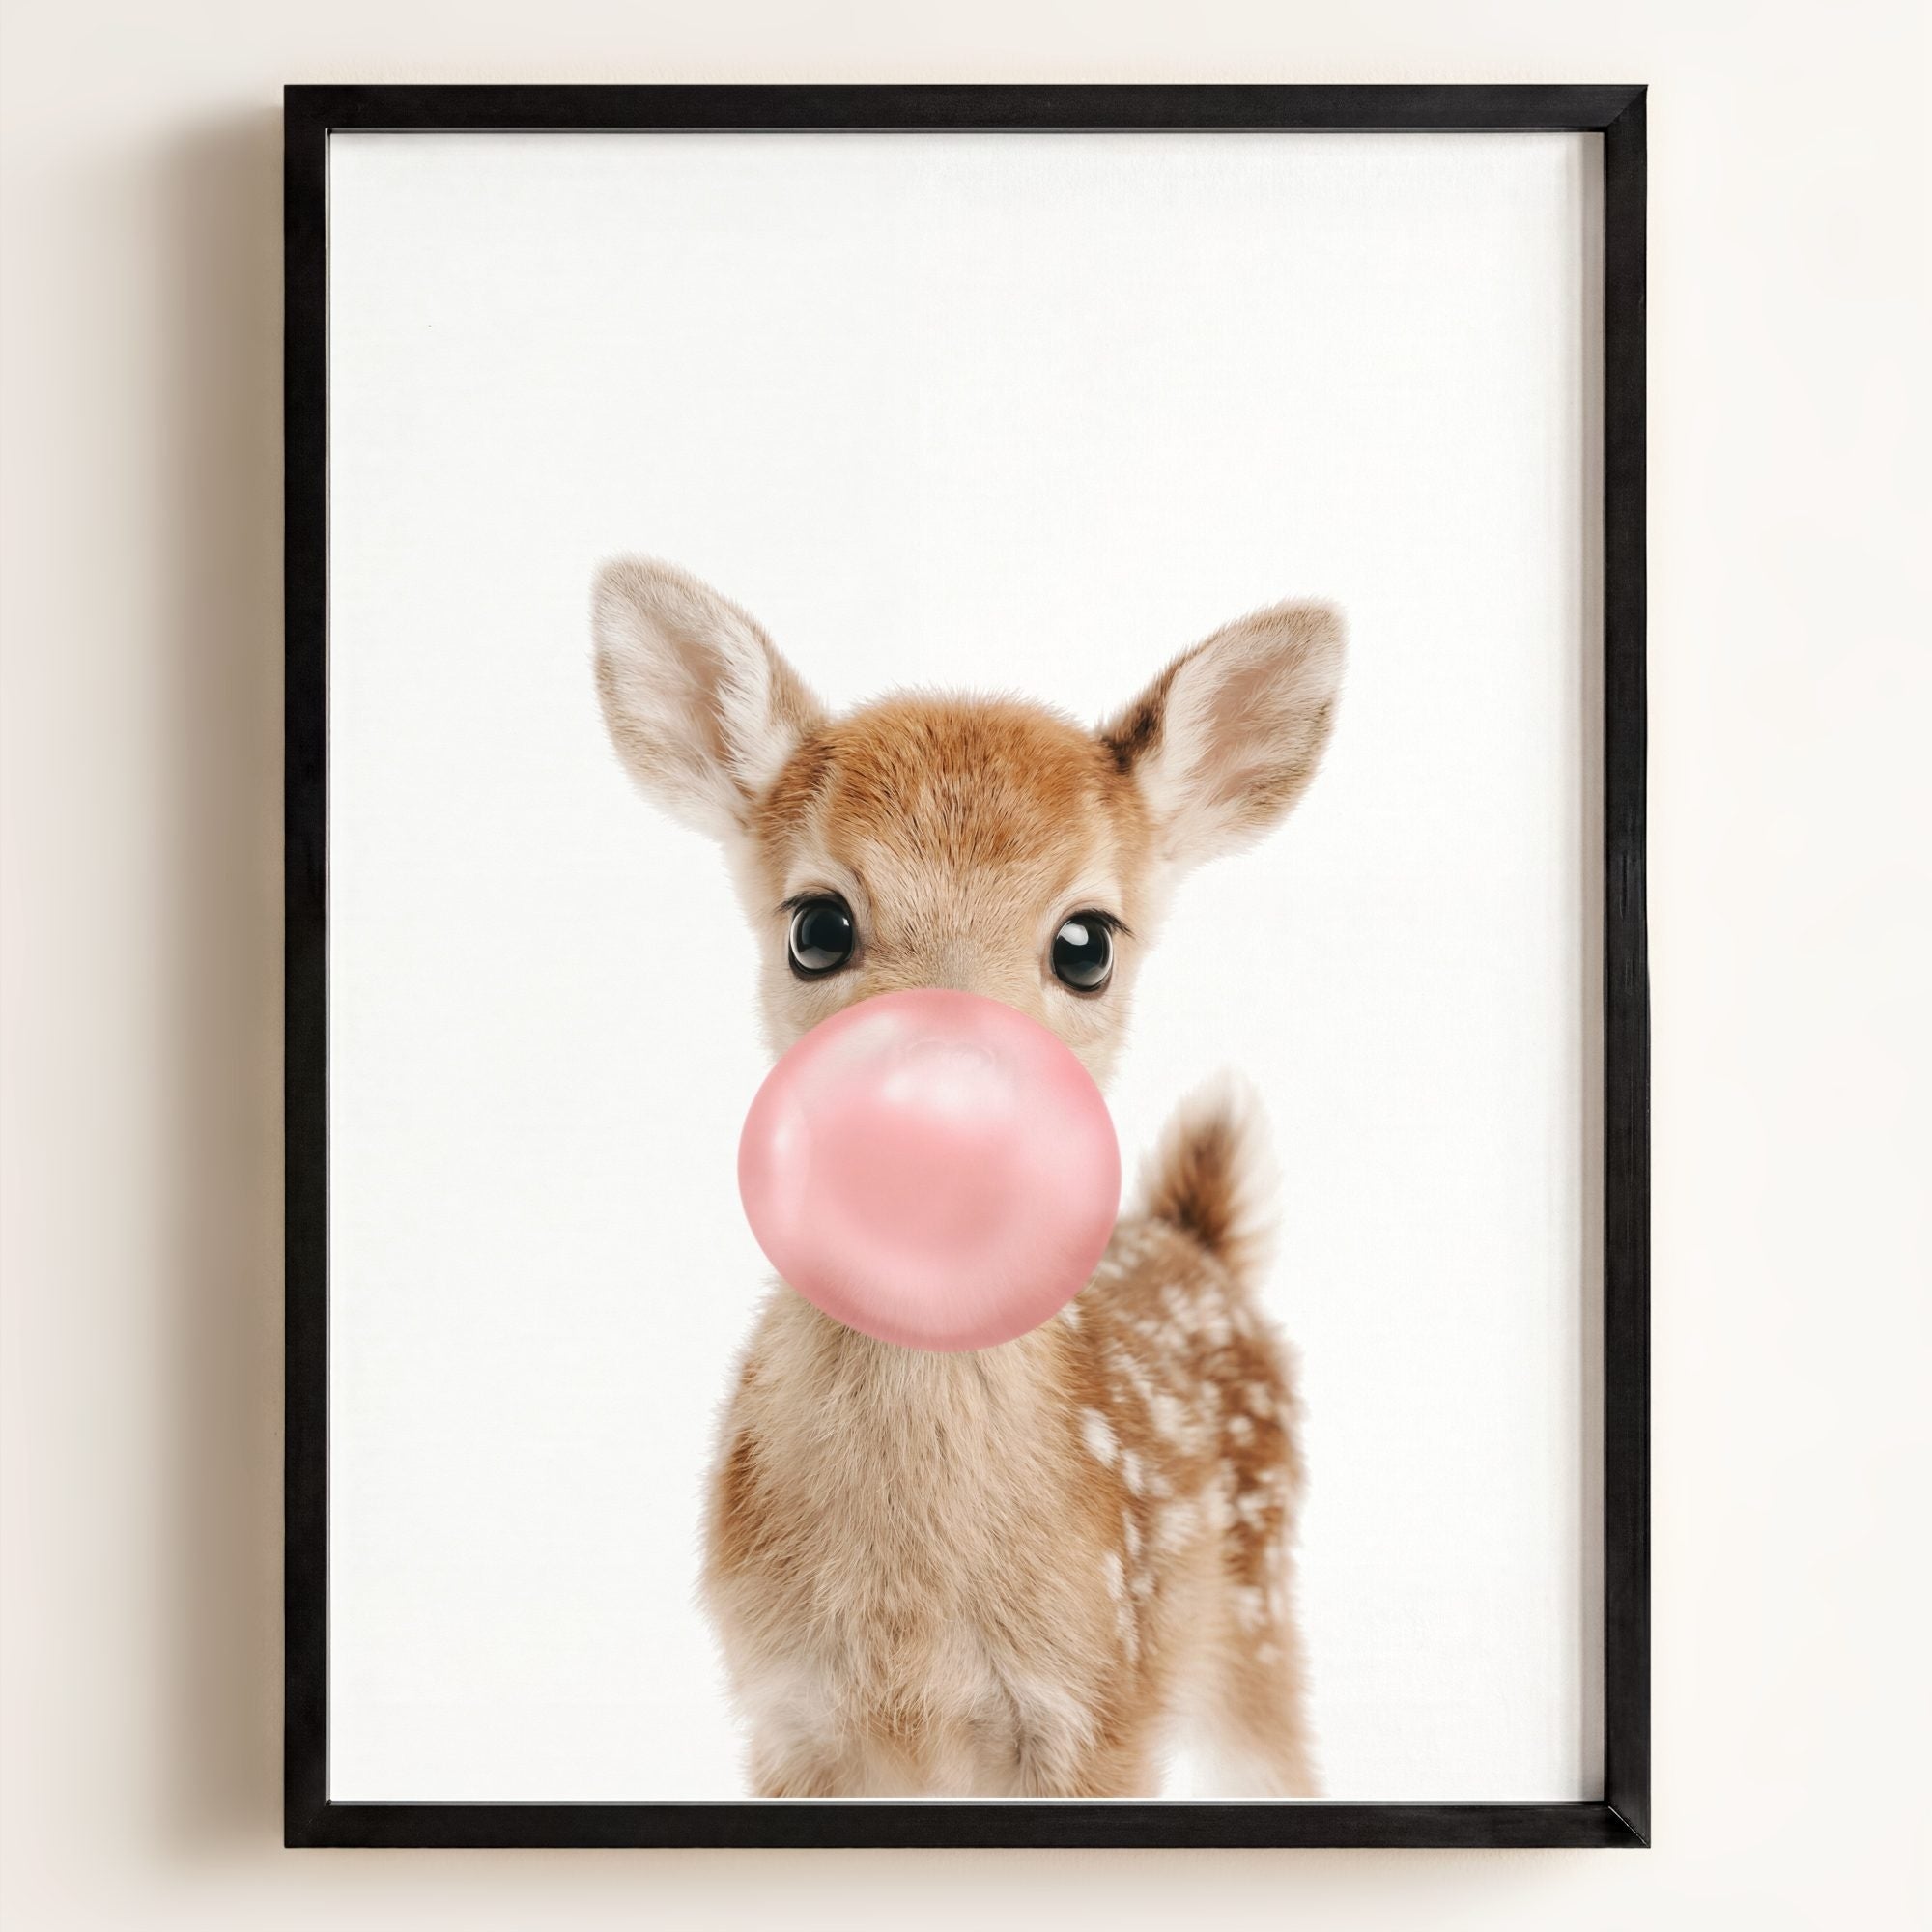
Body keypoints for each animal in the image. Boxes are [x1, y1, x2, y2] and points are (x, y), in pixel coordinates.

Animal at [593, 558, 1344, 1797]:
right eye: (817, 924)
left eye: (1086, 942)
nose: (942, 1103)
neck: (910, 1626)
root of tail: (1197, 1238)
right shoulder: (784, 1716)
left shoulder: (1102, 1705)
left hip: (1258, 1615)